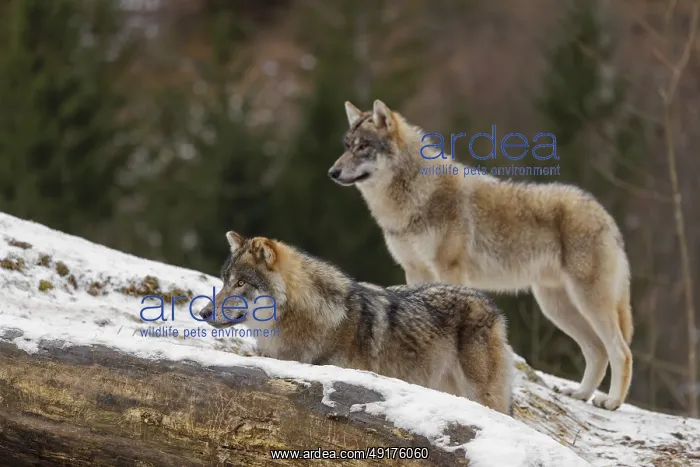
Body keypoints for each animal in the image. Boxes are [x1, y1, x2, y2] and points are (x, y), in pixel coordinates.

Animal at [327, 100, 634, 411]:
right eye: (347, 145)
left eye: (363, 147)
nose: (332, 172)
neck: (414, 197)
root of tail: (604, 214)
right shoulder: (414, 270)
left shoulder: (449, 269)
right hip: (556, 307)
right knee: (597, 350)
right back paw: (581, 394)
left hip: (588, 302)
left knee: (621, 350)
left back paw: (611, 401)